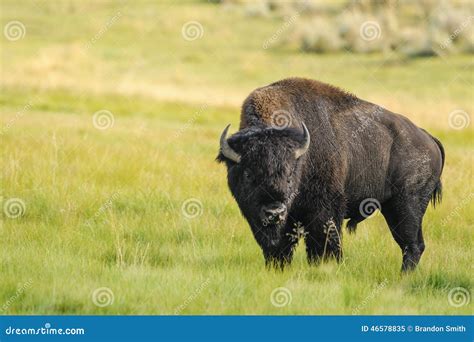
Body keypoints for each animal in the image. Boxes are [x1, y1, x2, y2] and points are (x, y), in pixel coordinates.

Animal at [217, 78, 446, 272]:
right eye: (248, 174)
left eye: (290, 175)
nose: (274, 212)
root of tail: (428, 137)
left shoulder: (325, 208)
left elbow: (324, 242)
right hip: (393, 208)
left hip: (407, 205)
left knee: (411, 244)